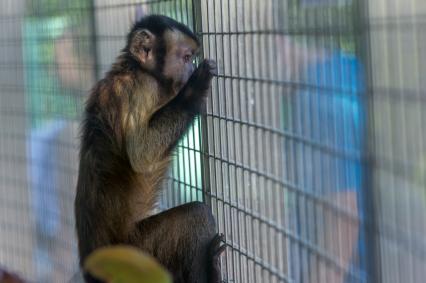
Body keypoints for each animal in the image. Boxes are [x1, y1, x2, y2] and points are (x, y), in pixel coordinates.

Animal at [75, 15, 225, 283]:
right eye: (187, 58)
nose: (190, 70)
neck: (135, 69)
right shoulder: (139, 90)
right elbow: (142, 154)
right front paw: (195, 90)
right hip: (135, 258)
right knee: (196, 214)